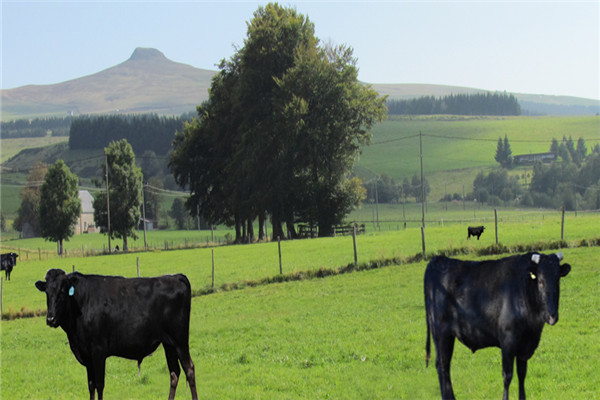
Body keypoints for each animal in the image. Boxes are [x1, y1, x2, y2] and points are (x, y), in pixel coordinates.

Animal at [35, 268, 199, 400]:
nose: (50, 319)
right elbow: (91, 385)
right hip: (168, 343)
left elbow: (99, 384)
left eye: (63, 291)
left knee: (189, 369)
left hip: (180, 340)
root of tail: (176, 276)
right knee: (174, 372)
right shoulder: (86, 355)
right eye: (47, 292)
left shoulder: (98, 351)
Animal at [422, 252, 572, 398]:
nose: (552, 316)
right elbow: (507, 376)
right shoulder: (507, 341)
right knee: (442, 366)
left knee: (444, 366)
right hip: (441, 334)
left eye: (557, 279)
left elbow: (522, 374)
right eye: (540, 281)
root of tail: (438, 259)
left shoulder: (525, 344)